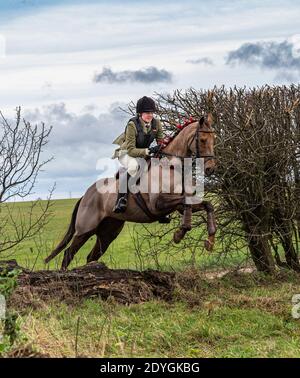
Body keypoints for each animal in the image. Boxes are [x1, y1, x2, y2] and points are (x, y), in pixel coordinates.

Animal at [44, 113, 217, 270]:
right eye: (202, 140)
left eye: (213, 139)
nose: (210, 168)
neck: (171, 166)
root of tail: (85, 195)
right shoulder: (157, 204)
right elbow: (185, 203)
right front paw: (179, 234)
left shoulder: (179, 205)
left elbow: (206, 205)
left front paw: (209, 240)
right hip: (85, 229)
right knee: (68, 253)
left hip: (108, 232)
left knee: (91, 255)